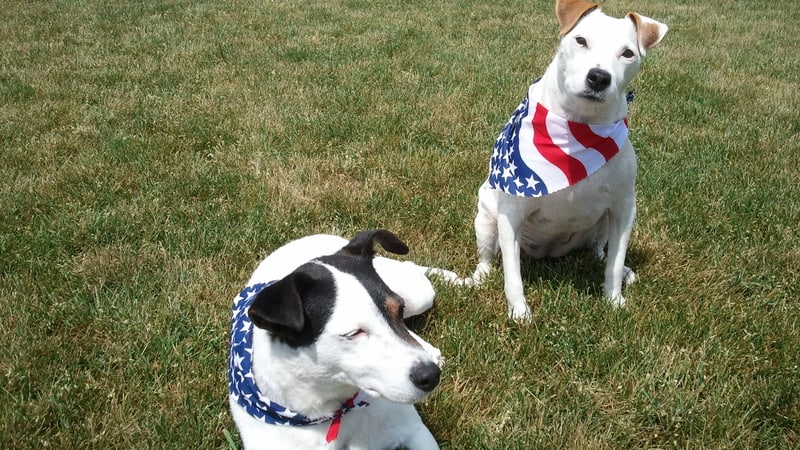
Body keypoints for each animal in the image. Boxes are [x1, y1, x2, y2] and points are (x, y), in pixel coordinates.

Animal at [228, 230, 444, 448]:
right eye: (354, 333)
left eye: (399, 309)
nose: (431, 376)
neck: (335, 410)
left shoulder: (416, 431)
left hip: (418, 295)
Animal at [432, 0, 668, 320]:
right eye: (581, 40)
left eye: (628, 53)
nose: (599, 77)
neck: (576, 131)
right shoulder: (512, 212)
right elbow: (512, 275)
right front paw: (519, 312)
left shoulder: (623, 207)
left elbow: (615, 262)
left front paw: (614, 299)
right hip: (486, 218)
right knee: (489, 262)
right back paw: (477, 278)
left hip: (602, 224)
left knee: (599, 252)